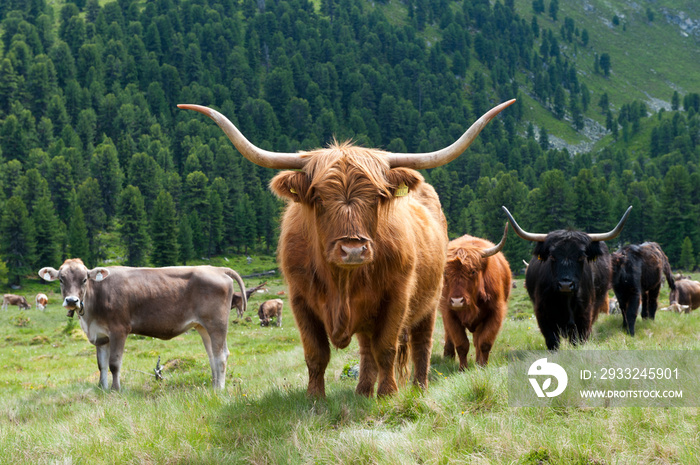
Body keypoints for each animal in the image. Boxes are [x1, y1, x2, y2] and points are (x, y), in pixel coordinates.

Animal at [39, 260, 246, 390]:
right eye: (61, 279)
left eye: (84, 279)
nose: (72, 301)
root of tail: (216, 269)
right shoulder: (101, 336)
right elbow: (101, 365)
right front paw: (102, 388)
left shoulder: (119, 330)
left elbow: (114, 363)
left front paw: (115, 390)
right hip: (202, 326)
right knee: (212, 356)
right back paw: (213, 385)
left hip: (217, 323)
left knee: (221, 355)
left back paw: (219, 389)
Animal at [440, 223, 512, 368]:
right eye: (446, 273)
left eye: (473, 271)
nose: (457, 301)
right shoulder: (449, 313)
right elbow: (461, 344)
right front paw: (463, 368)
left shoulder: (495, 313)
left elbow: (484, 342)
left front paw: (482, 366)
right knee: (449, 336)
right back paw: (448, 356)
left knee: (478, 340)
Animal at [500, 206, 632, 348]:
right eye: (552, 256)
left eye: (581, 256)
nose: (565, 285)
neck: (565, 299)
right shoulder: (543, 315)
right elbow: (552, 341)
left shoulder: (585, 314)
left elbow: (578, 339)